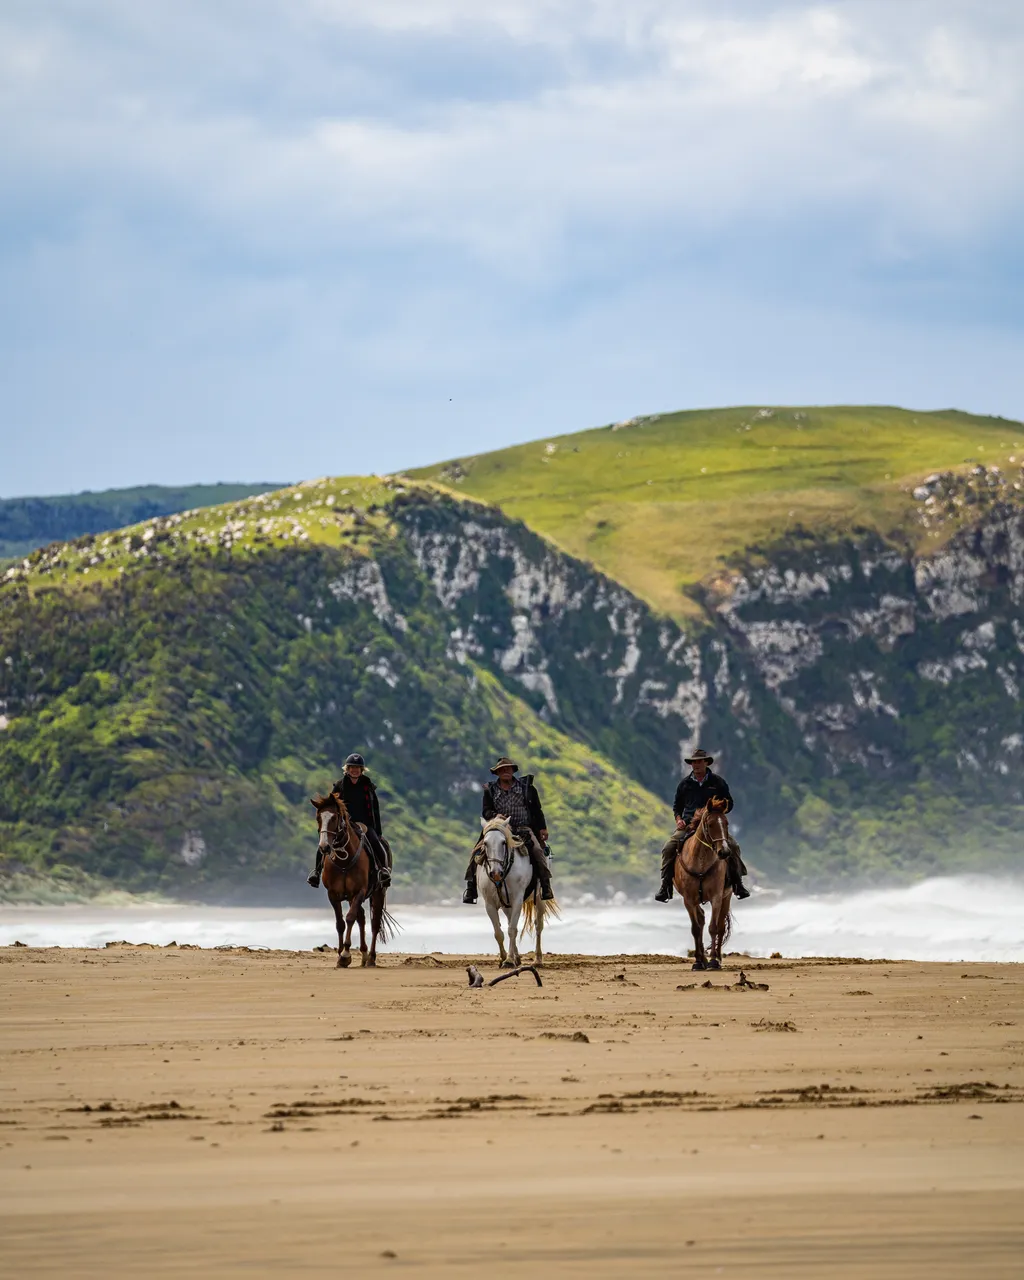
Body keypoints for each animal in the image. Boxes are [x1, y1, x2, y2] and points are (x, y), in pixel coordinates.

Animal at [310, 792, 395, 968]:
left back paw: (371, 958)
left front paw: (345, 954)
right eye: (318, 818)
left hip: (379, 891)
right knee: (361, 918)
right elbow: (340, 923)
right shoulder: (333, 895)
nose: (324, 847)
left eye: (334, 817)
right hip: (350, 897)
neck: (344, 860)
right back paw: (363, 954)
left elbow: (349, 918)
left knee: (374, 923)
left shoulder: (359, 892)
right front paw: (340, 955)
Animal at [473, 816, 553, 968]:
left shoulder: (517, 900)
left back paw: (537, 959)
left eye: (503, 842)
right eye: (485, 843)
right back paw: (517, 957)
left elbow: (512, 930)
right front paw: (504, 958)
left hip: (539, 899)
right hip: (506, 905)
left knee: (538, 925)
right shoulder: (490, 904)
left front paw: (509, 960)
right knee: (511, 921)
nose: (495, 873)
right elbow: (498, 932)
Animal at [674, 796, 733, 971]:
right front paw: (698, 962)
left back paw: (717, 958)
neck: (700, 862)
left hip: (727, 897)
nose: (724, 852)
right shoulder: (689, 900)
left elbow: (713, 928)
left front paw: (713, 961)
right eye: (710, 824)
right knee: (700, 921)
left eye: (726, 823)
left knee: (720, 927)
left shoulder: (716, 897)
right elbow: (695, 928)